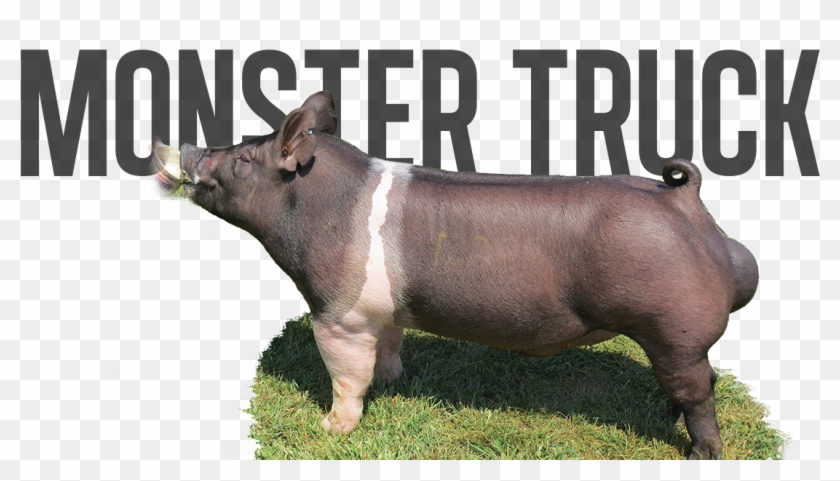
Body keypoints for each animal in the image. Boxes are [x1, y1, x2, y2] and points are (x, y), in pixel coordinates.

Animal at [160, 90, 759, 460]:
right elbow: (390, 347)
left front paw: (330, 429)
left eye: (242, 159)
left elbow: (345, 376)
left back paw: (700, 454)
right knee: (689, 387)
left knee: (701, 389)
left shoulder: (338, 313)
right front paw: (393, 383)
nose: (188, 146)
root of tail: (683, 200)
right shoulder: (381, 312)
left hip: (674, 330)